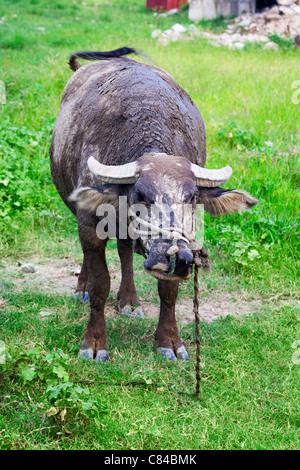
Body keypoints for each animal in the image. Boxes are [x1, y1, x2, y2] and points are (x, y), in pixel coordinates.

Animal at [49, 47, 258, 362]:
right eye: (140, 195)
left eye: (191, 197)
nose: (177, 256)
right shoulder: (89, 224)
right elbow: (100, 284)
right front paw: (94, 343)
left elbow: (168, 292)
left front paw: (169, 341)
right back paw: (82, 289)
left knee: (124, 251)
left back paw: (129, 301)